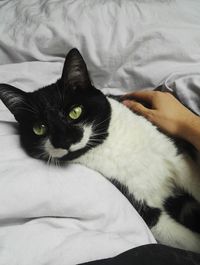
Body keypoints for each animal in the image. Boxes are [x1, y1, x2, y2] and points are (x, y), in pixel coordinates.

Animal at [0, 48, 200, 253]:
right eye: (39, 128)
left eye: (75, 112)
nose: (65, 141)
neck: (109, 146)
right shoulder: (138, 203)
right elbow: (178, 234)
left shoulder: (176, 156)